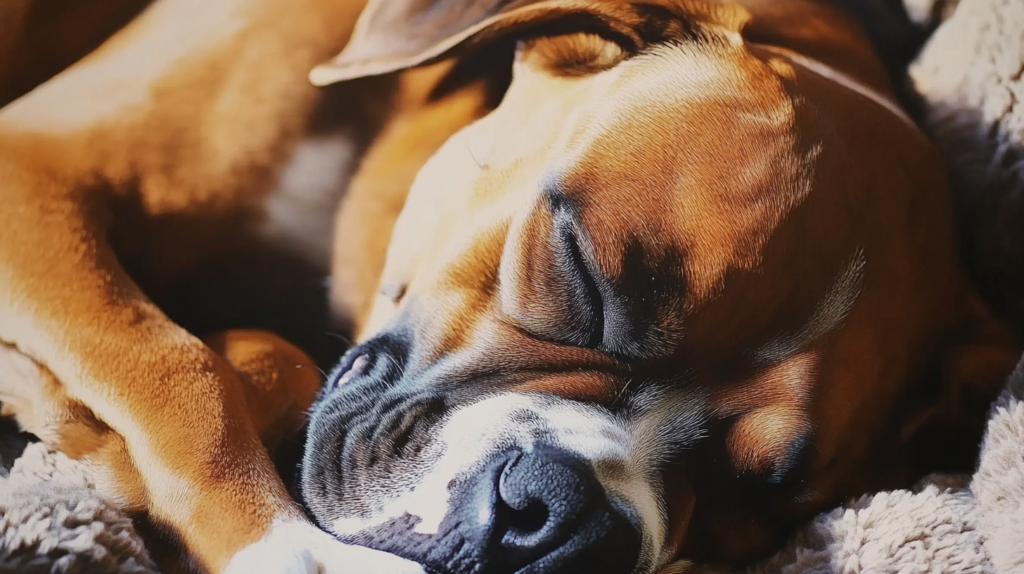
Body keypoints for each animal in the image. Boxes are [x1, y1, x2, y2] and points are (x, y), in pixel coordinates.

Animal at [0, 0, 1019, 568]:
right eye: (581, 274)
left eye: (762, 493)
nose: (561, 519)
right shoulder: (32, 171)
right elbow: (176, 368)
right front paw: (286, 549)